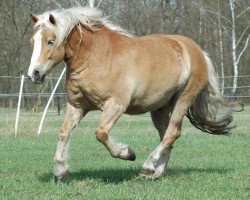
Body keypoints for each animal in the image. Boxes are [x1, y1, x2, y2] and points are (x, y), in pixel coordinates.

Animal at [27, 5, 238, 181]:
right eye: (32, 41)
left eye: (50, 41)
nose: (34, 73)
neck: (96, 57)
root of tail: (198, 52)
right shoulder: (77, 106)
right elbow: (64, 133)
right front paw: (60, 171)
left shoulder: (115, 105)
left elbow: (101, 133)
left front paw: (127, 153)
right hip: (160, 107)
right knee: (166, 135)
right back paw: (156, 171)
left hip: (183, 100)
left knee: (172, 133)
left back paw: (148, 166)